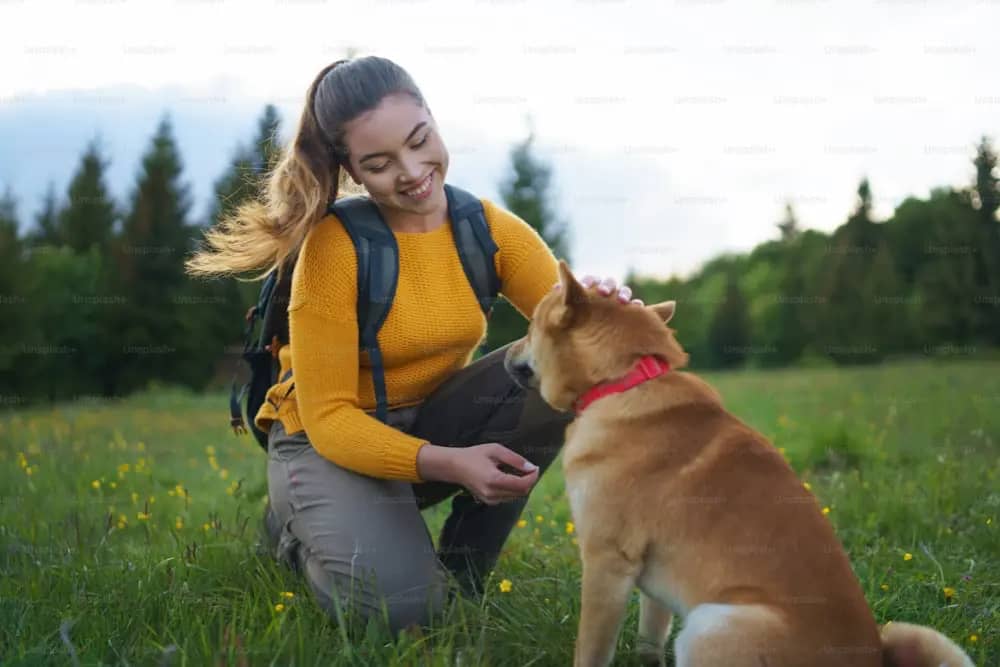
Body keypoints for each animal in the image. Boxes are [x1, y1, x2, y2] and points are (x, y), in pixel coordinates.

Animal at [504, 260, 972, 667]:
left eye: (529, 327)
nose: (504, 350)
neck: (625, 380)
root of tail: (869, 660)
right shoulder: (649, 586)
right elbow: (650, 639)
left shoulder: (606, 562)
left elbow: (591, 650)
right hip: (909, 634)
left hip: (711, 624)